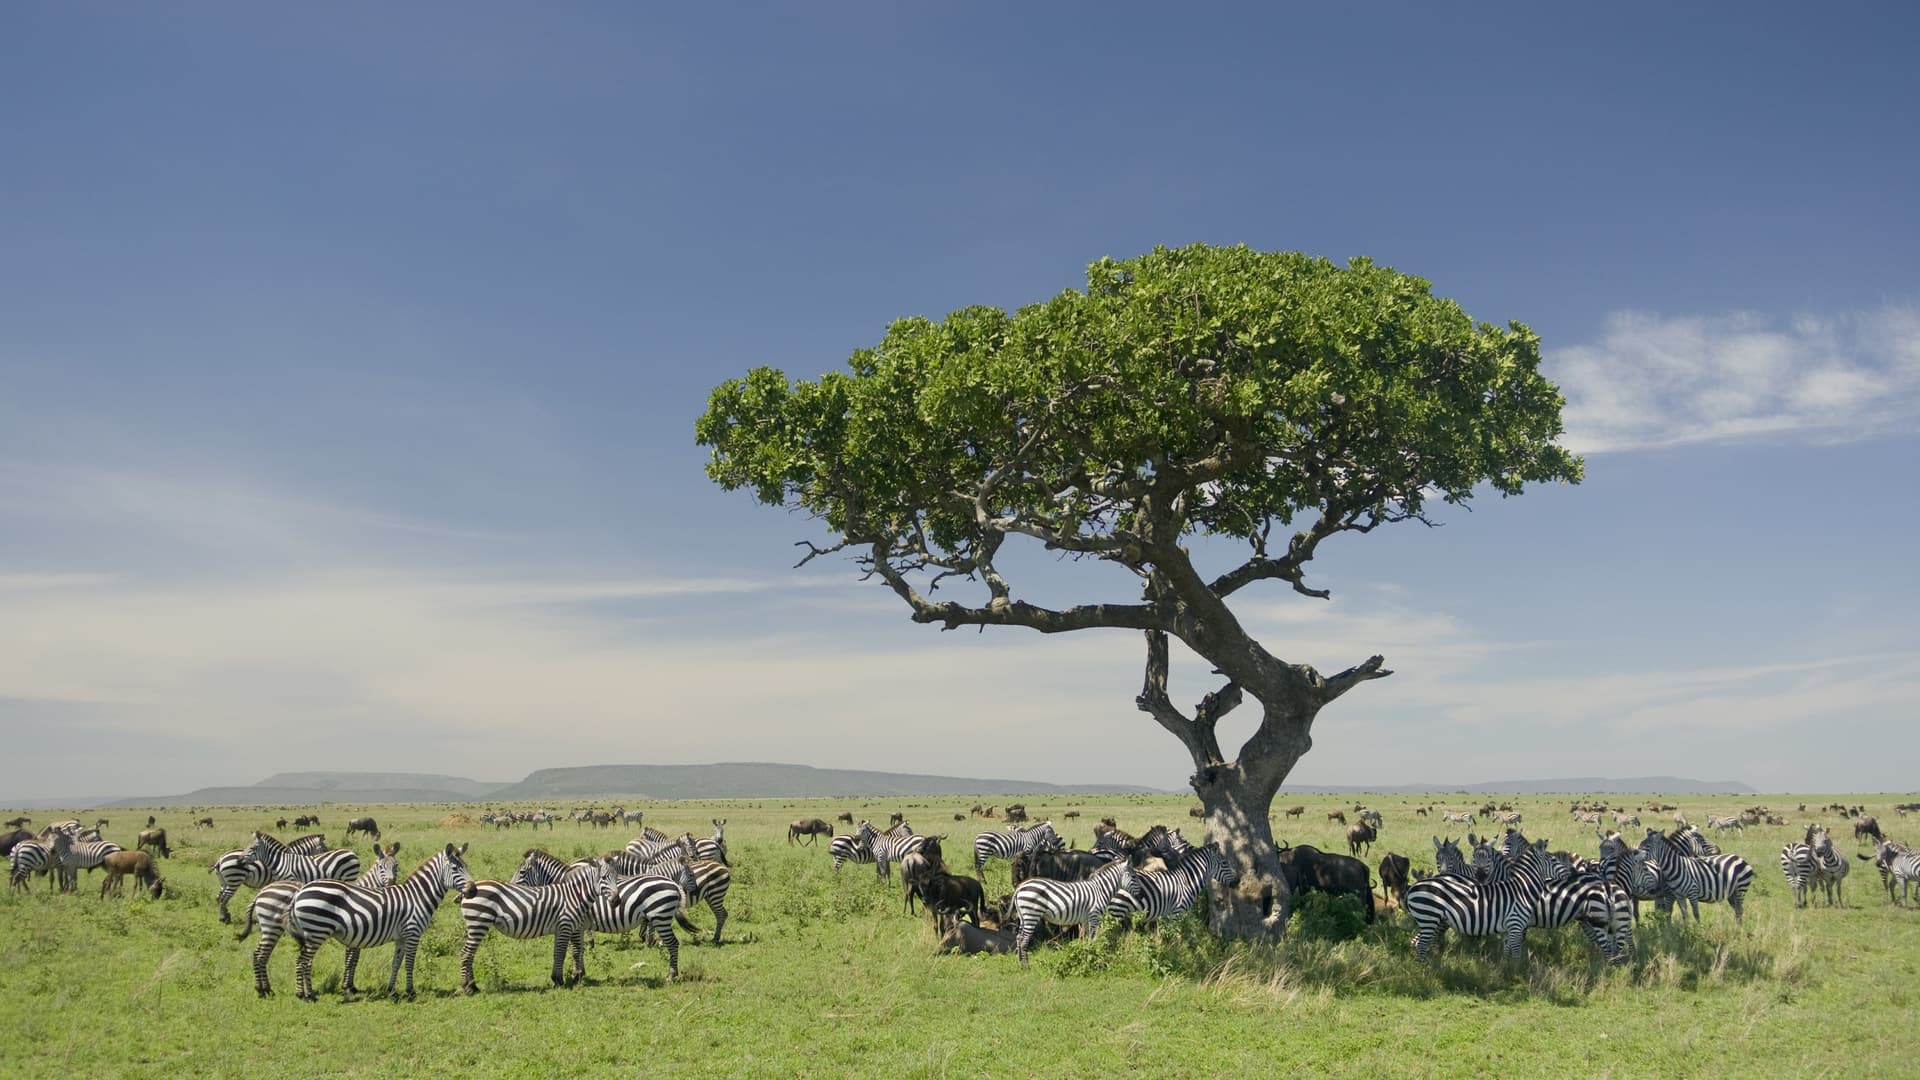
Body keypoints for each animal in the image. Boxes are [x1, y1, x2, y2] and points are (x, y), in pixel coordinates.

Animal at [241, 843, 402, 997]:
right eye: (381, 867)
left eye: (396, 866)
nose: (391, 883)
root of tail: (261, 892)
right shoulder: (355, 933)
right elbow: (351, 959)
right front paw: (347, 987)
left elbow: (354, 959)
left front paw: (350, 986)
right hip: (272, 927)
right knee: (260, 954)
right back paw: (264, 990)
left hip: (271, 928)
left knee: (261, 954)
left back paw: (265, 989)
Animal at [285, 842, 475, 1001]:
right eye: (455, 868)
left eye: (466, 866)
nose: (473, 890)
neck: (417, 896)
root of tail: (300, 892)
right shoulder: (413, 933)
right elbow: (409, 964)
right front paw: (410, 992)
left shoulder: (401, 938)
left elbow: (396, 963)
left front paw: (392, 990)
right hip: (317, 931)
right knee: (303, 961)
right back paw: (305, 995)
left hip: (311, 933)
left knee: (303, 961)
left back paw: (306, 993)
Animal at [459, 857, 616, 992]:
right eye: (603, 878)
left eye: (616, 877)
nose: (617, 900)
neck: (574, 895)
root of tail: (468, 890)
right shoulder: (565, 925)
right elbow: (562, 953)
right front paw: (560, 981)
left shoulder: (561, 929)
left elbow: (557, 953)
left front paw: (556, 979)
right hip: (479, 923)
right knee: (466, 953)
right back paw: (467, 987)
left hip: (476, 925)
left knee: (469, 953)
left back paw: (473, 986)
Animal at [1105, 841, 1238, 923]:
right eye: (1224, 863)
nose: (1237, 881)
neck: (1187, 882)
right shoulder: (1177, 913)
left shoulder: (1166, 915)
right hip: (1118, 911)